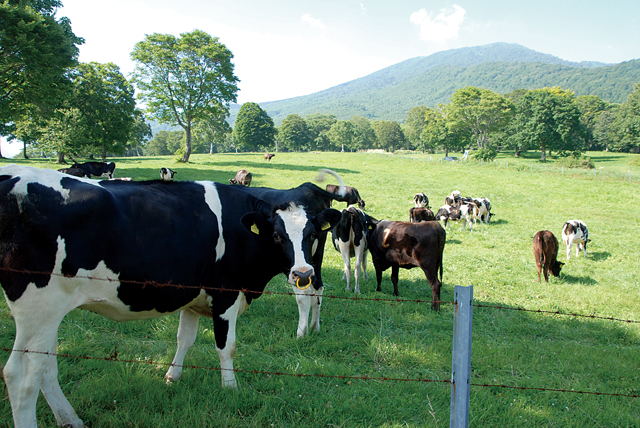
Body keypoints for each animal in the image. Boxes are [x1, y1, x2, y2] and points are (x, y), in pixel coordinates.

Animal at [0, 165, 342, 428]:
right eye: (277, 236)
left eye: (312, 235)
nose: (303, 274)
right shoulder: (226, 295)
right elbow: (226, 346)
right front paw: (230, 388)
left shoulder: (192, 297)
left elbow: (184, 339)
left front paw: (171, 377)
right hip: (38, 308)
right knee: (21, 376)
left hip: (48, 316)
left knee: (46, 366)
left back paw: (70, 418)